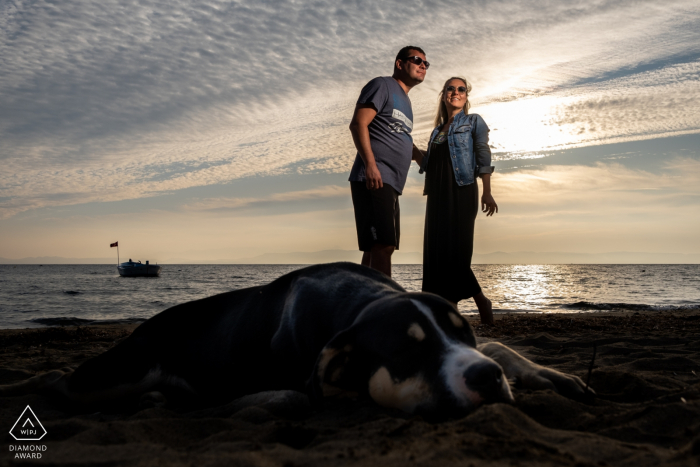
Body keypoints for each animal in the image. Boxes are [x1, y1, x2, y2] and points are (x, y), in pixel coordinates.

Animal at [0, 264, 592, 420]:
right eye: (408, 351)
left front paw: (552, 374)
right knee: (58, 380)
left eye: (461, 330)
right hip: (119, 369)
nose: (487, 381)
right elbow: (293, 394)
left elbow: (500, 347)